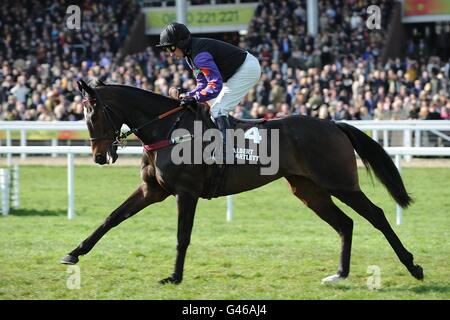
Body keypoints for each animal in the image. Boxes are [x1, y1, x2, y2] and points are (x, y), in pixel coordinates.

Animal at [61, 79, 424, 284]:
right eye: (83, 115)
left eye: (94, 113)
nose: (100, 156)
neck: (167, 131)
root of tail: (333, 124)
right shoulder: (153, 190)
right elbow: (112, 218)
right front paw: (74, 253)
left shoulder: (186, 192)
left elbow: (182, 236)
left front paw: (175, 276)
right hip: (308, 189)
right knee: (345, 223)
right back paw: (340, 273)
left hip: (340, 183)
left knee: (376, 215)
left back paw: (413, 266)